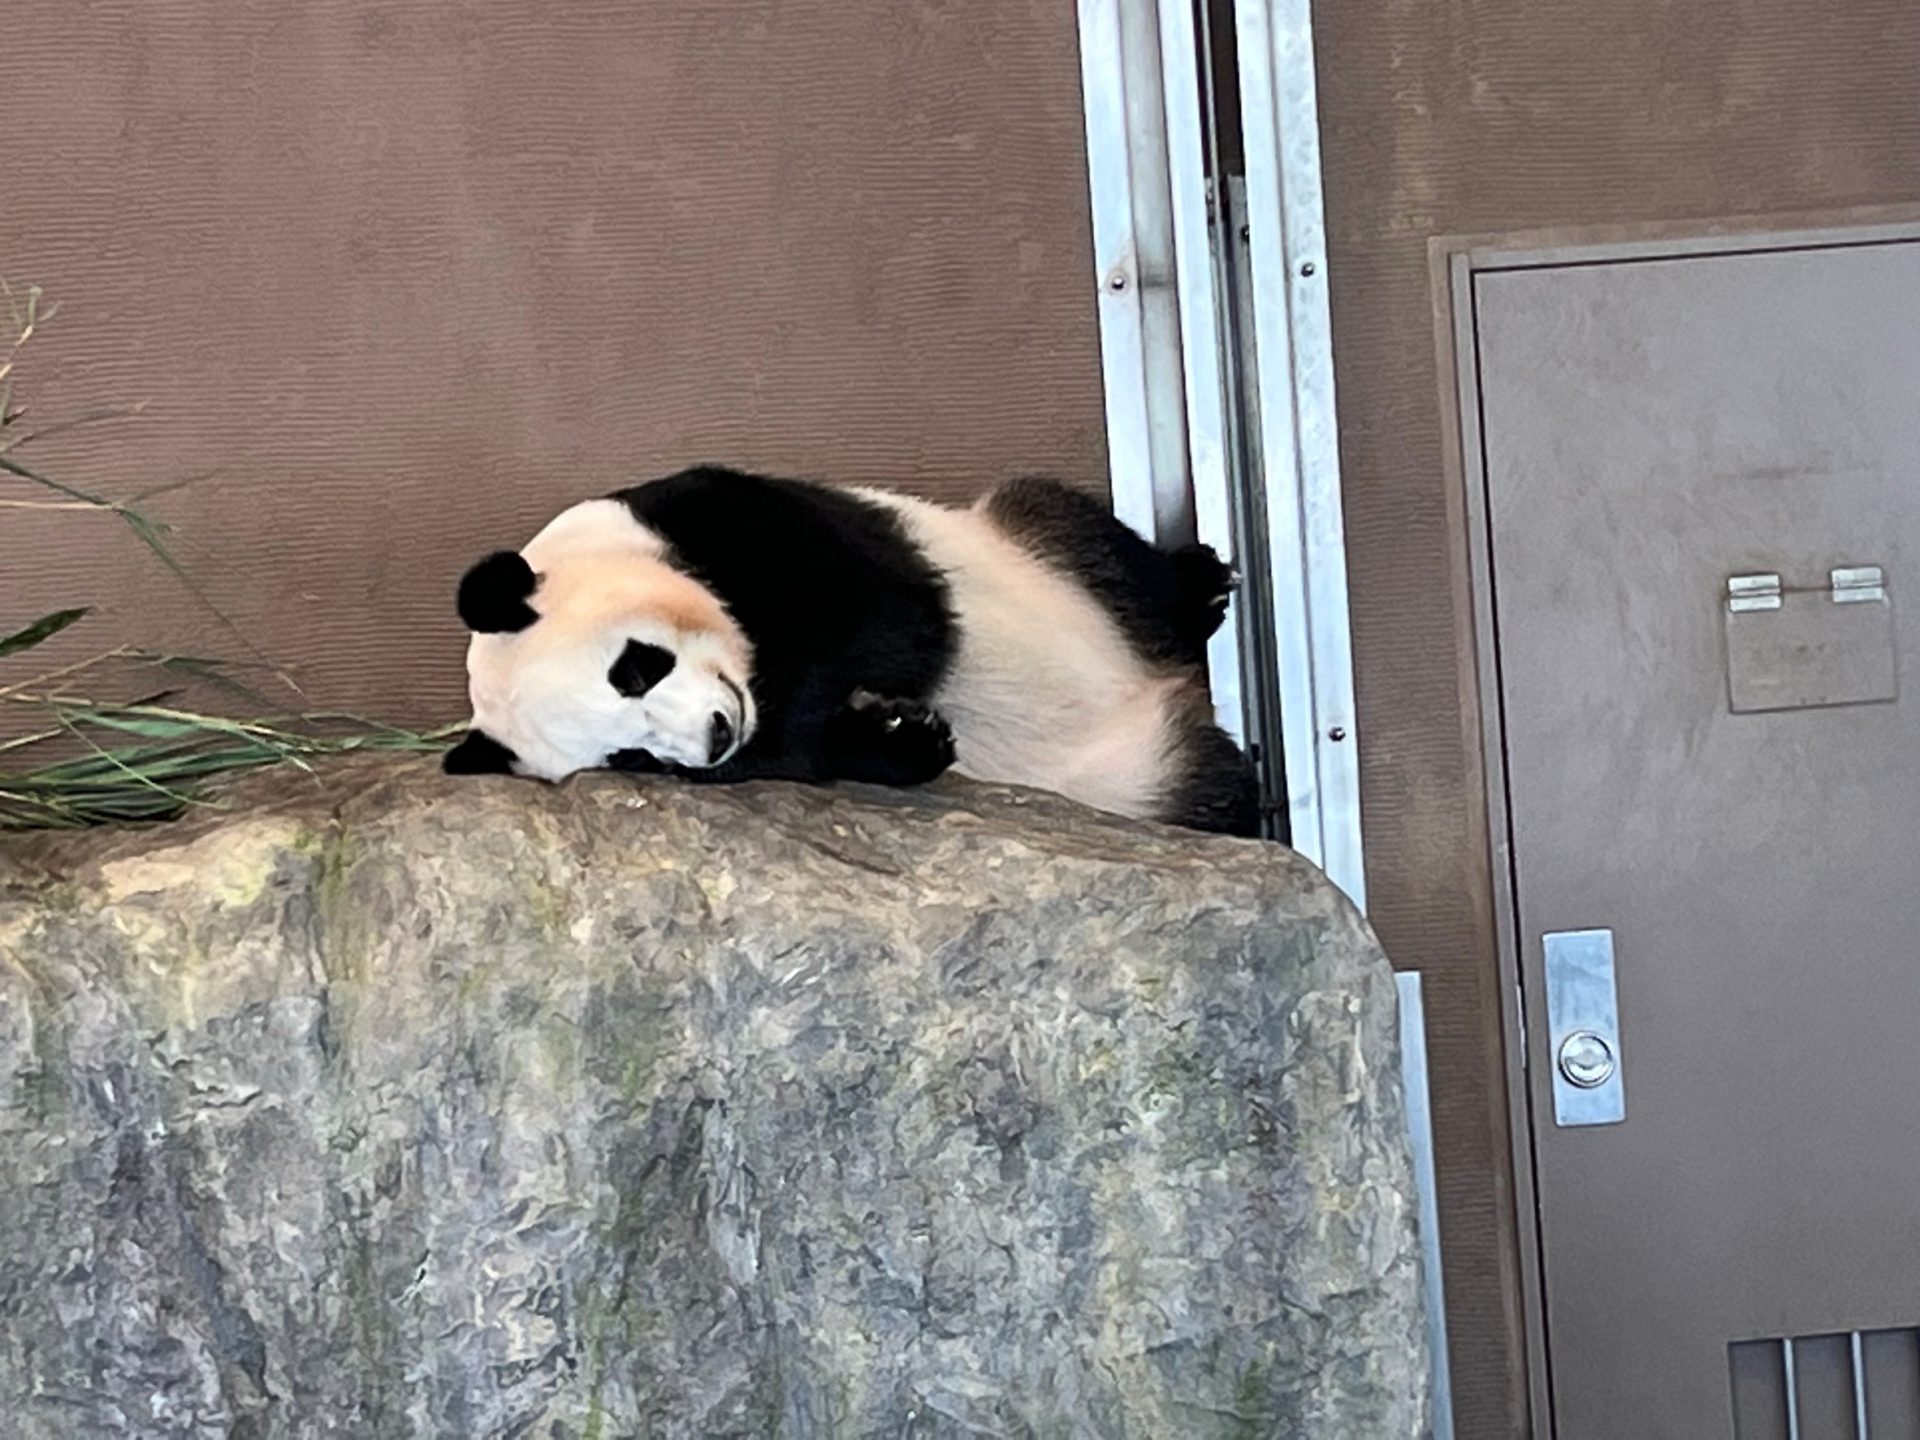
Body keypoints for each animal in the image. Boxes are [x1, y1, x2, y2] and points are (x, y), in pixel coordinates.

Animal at [443, 468, 1267, 840]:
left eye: (636, 667)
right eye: (629, 757)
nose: (715, 734)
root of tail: (1161, 692)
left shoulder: (724, 512)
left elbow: (890, 614)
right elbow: (802, 752)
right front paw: (902, 735)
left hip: (1034, 549)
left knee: (1105, 551)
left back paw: (1200, 587)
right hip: (1132, 776)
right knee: (1212, 791)